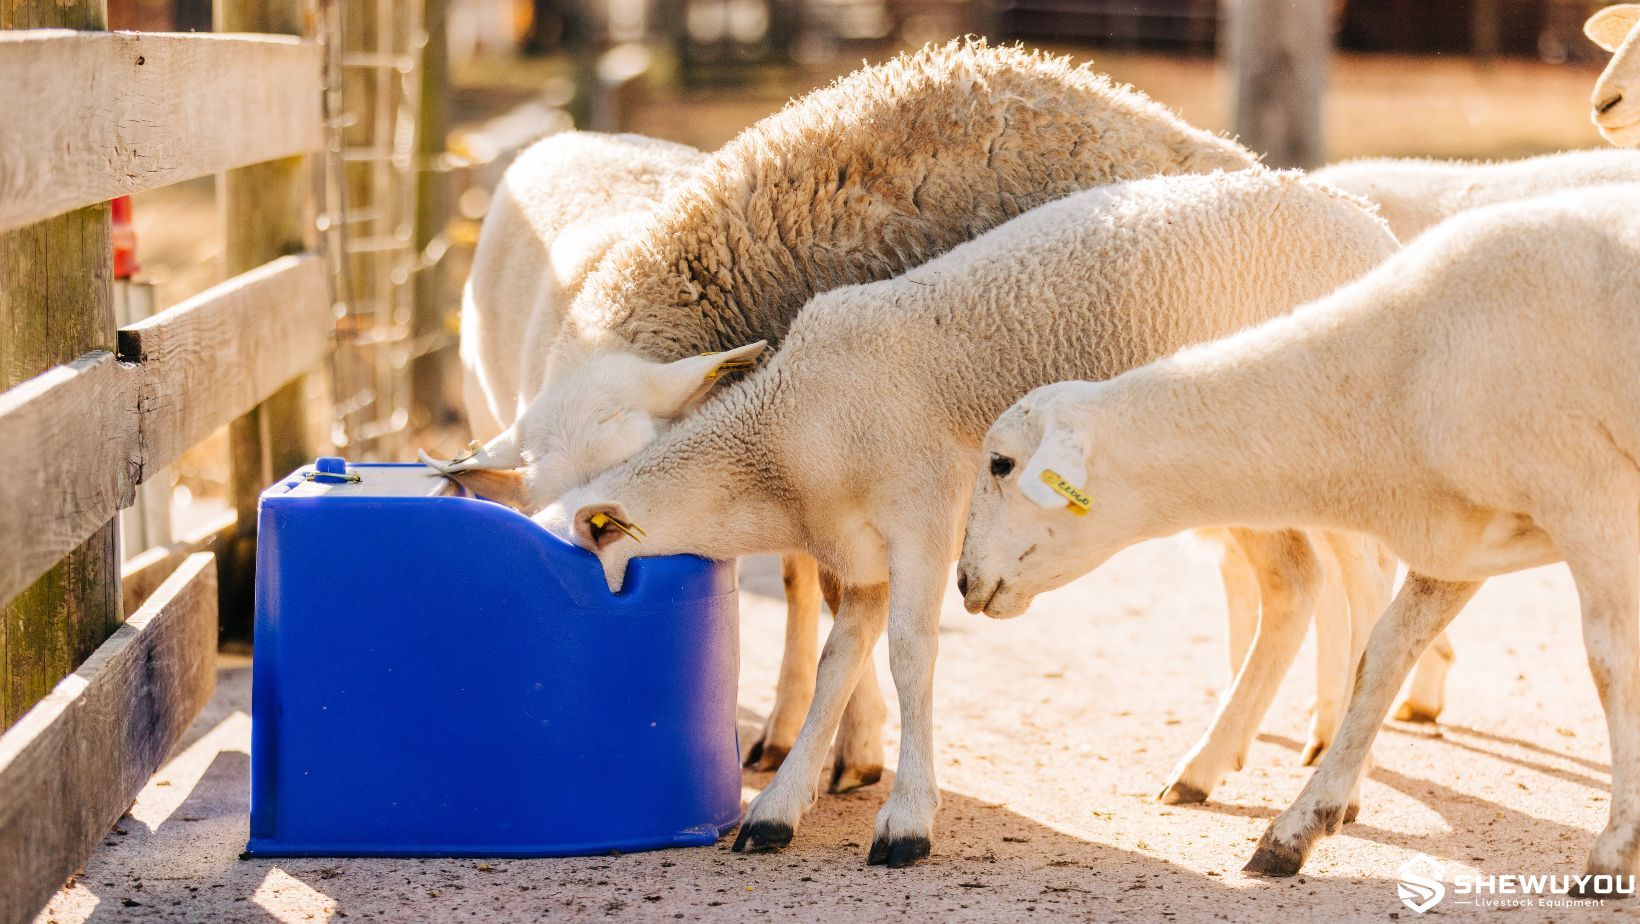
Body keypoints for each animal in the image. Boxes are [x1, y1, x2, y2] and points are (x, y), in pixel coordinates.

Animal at [535, 169, 1403, 867]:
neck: (783, 442)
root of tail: (1375, 228)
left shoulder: (920, 518)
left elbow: (911, 657)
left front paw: (906, 823)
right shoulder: (862, 554)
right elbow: (839, 663)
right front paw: (779, 809)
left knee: (1362, 579)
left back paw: (1340, 779)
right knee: (1296, 585)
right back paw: (1204, 768)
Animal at [954, 185, 1640, 886]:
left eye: (1001, 463)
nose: (962, 580)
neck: (1390, 373)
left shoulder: (1590, 498)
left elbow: (1613, 663)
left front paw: (1617, 845)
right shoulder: (1462, 533)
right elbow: (1382, 654)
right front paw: (1300, 826)